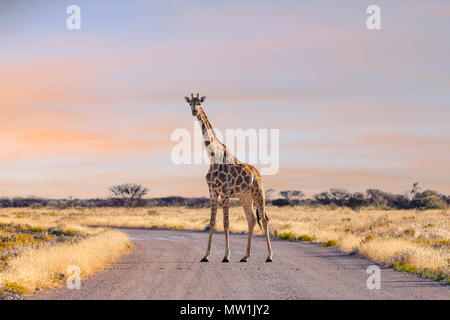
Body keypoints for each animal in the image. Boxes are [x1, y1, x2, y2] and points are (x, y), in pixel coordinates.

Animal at [184, 92, 274, 262]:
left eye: (199, 103)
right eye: (190, 103)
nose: (194, 112)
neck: (213, 157)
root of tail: (257, 173)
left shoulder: (225, 192)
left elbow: (226, 223)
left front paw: (226, 255)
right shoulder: (213, 192)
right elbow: (212, 222)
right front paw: (206, 255)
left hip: (259, 193)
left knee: (264, 220)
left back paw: (269, 256)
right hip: (245, 197)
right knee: (251, 220)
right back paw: (245, 256)